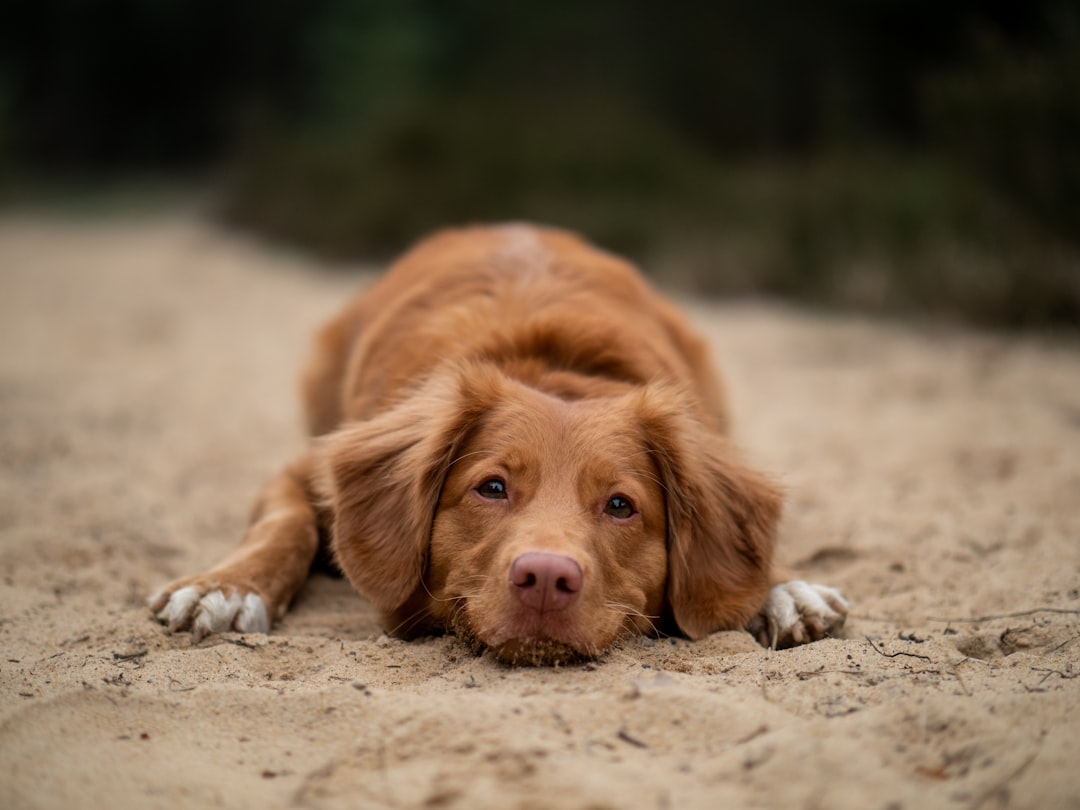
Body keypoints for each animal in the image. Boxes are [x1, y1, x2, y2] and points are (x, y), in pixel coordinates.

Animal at [150, 223, 842, 665]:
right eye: (491, 488)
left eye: (621, 506)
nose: (546, 578)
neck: (550, 368)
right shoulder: (306, 468)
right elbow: (284, 525)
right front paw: (227, 585)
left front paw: (782, 585)